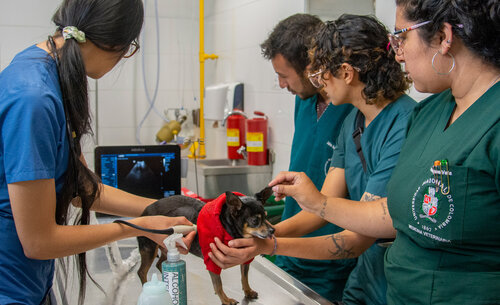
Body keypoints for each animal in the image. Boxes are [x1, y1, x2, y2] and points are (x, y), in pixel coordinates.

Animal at [139, 186, 276, 302]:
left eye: (266, 217)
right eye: (255, 220)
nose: (273, 230)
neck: (227, 228)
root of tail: (144, 212)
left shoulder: (245, 259)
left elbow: (244, 277)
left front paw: (248, 291)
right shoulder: (212, 262)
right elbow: (218, 285)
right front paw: (226, 301)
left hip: (164, 248)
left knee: (159, 263)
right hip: (149, 248)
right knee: (142, 271)